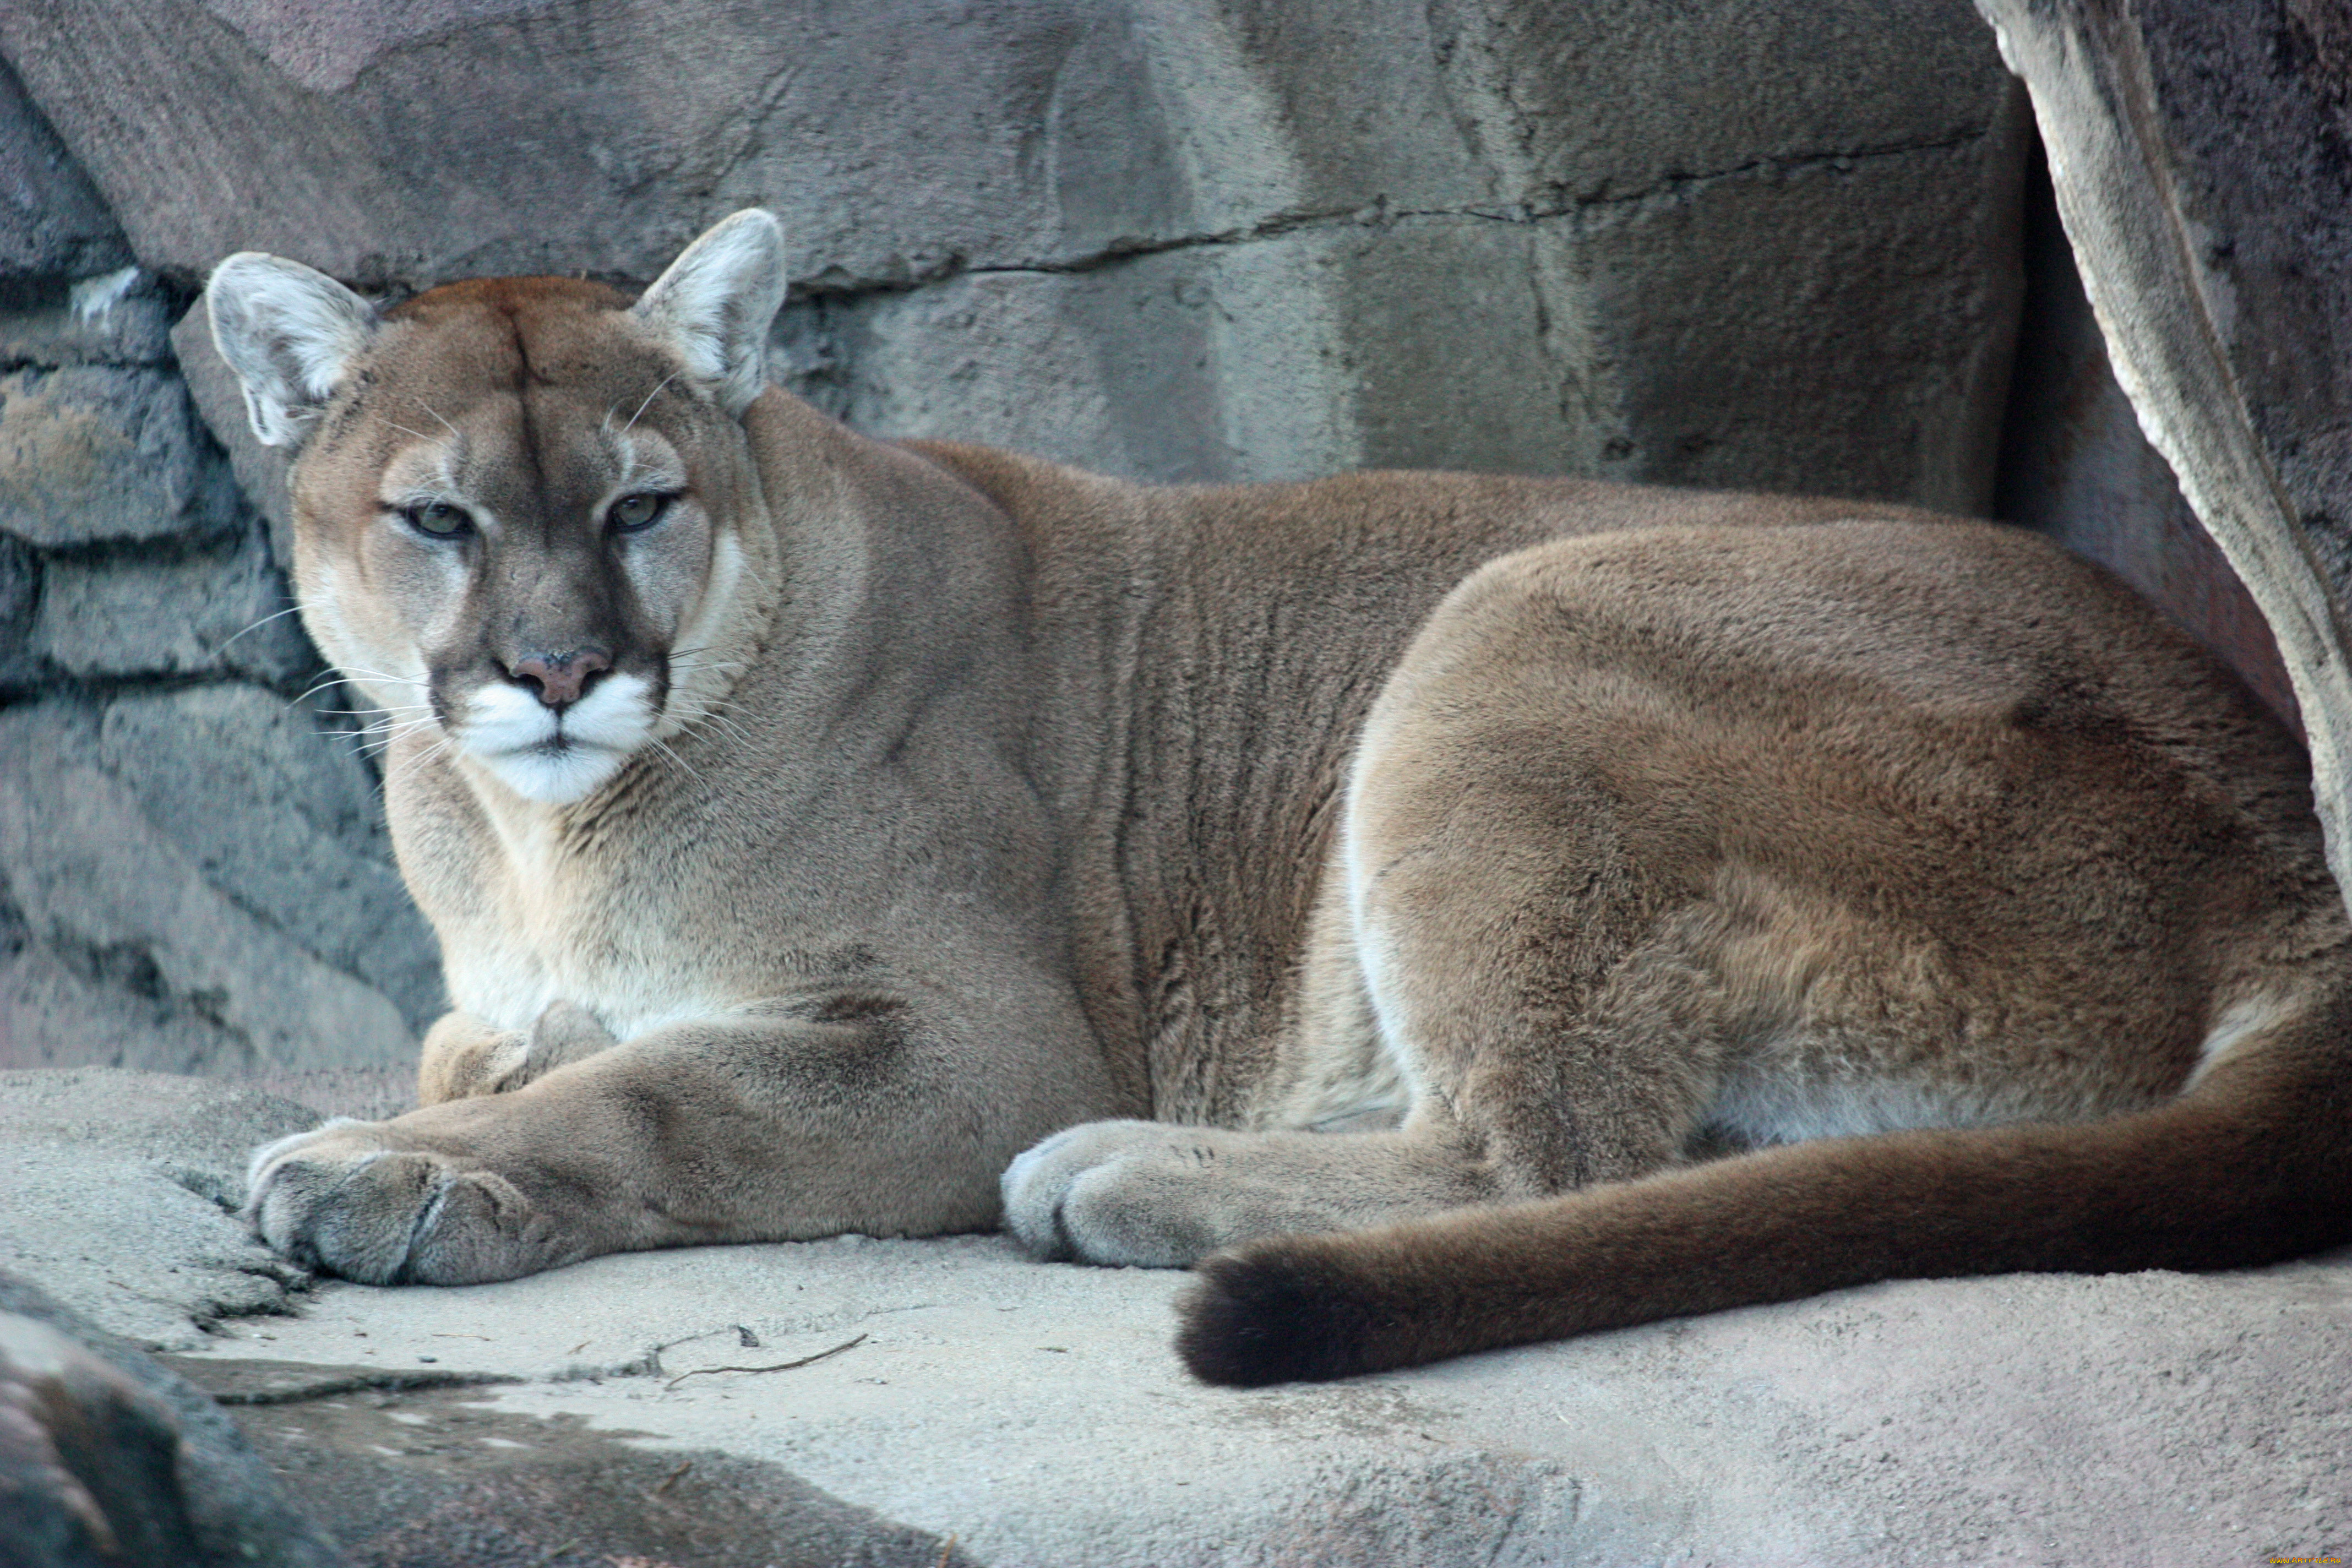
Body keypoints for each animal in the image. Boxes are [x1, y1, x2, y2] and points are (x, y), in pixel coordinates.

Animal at [211, 208, 2342, 1382]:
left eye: (639, 505)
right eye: (436, 520)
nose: (556, 670)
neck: (538, 841)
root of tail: (2288, 827)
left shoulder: (974, 1037)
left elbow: (653, 1085)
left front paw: (397, 1174)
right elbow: (510, 1045)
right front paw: (438, 1113)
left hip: (1513, 621)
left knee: (1544, 1153)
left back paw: (1129, 1174)